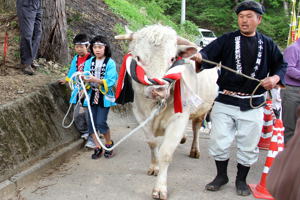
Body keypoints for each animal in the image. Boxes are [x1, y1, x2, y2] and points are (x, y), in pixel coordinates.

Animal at [115, 24, 218, 199]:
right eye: (138, 58)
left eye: (171, 59)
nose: (159, 90)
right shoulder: (140, 115)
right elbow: (152, 143)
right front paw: (154, 167)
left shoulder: (179, 118)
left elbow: (166, 153)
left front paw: (160, 188)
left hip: (204, 109)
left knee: (196, 127)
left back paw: (195, 150)